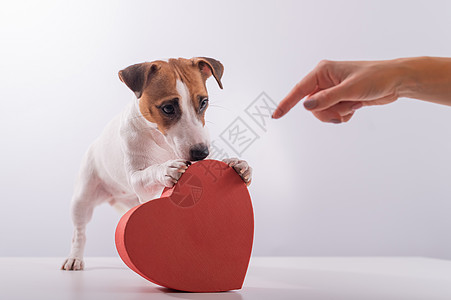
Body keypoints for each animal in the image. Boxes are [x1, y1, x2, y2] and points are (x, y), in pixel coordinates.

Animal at [61, 57, 252, 270]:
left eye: (204, 102)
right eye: (168, 108)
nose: (201, 153)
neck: (162, 142)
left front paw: (237, 164)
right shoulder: (137, 179)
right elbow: (150, 171)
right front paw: (167, 169)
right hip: (82, 198)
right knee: (79, 232)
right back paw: (75, 258)